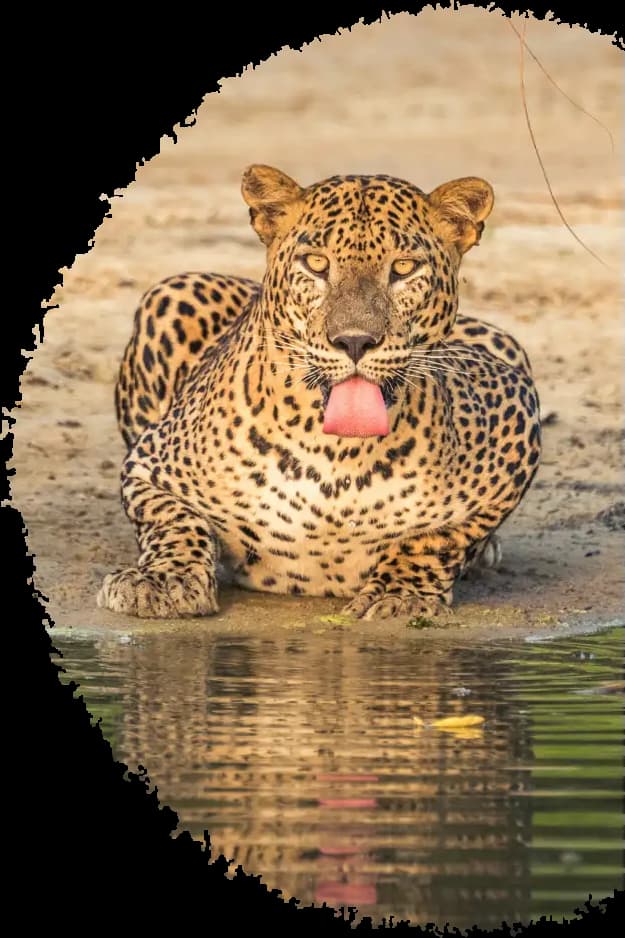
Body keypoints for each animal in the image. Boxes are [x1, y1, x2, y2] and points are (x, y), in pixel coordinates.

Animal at [97, 164, 541, 621]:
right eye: (316, 264)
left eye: (403, 268)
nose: (355, 341)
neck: (336, 456)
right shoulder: (150, 464)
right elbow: (174, 519)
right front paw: (163, 580)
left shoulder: (515, 408)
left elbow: (438, 537)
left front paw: (398, 594)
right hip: (173, 291)